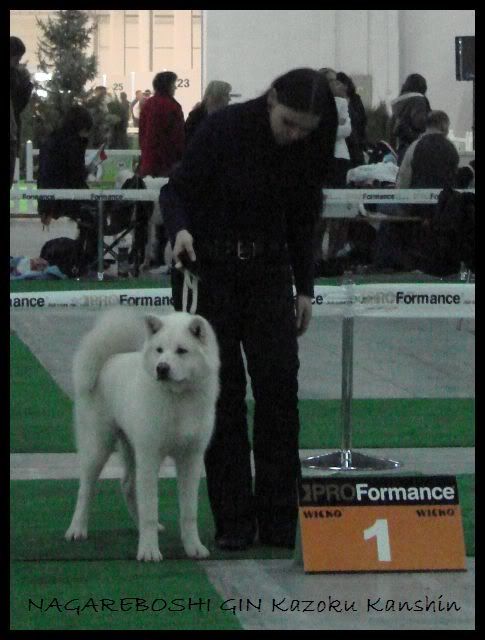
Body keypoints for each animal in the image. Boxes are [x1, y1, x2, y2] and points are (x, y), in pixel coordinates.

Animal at [65, 308, 220, 562]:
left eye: (181, 350)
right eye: (159, 350)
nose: (162, 368)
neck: (178, 400)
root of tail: (111, 359)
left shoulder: (191, 458)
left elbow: (189, 511)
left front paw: (193, 548)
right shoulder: (150, 455)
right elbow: (150, 507)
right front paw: (149, 551)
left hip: (131, 449)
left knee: (128, 485)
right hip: (97, 447)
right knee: (85, 490)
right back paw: (77, 530)